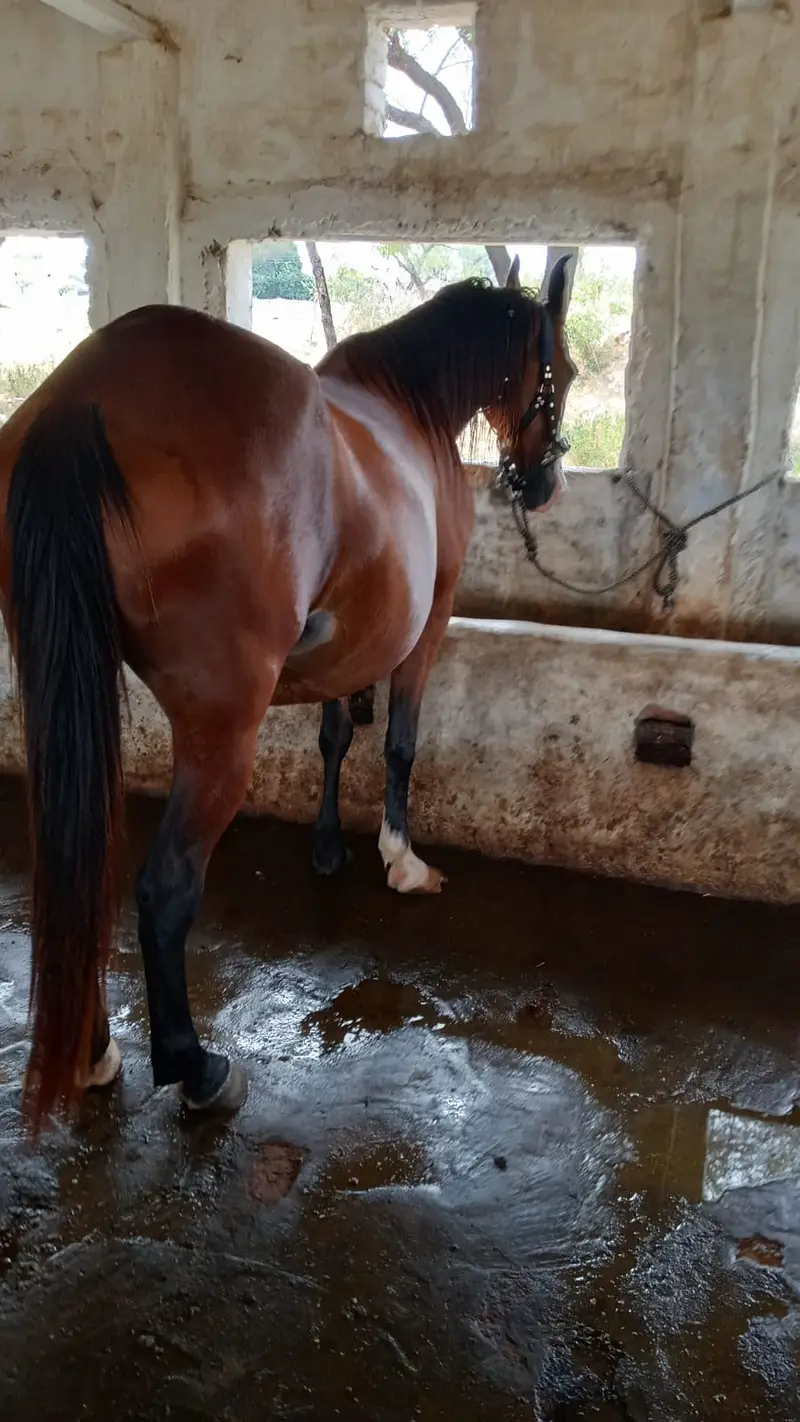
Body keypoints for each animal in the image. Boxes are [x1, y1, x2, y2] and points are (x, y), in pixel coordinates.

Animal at [0, 254, 575, 1129]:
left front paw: (330, 845)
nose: (540, 484)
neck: (408, 398)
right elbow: (400, 742)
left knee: (82, 869)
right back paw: (195, 1068)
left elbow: (336, 732)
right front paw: (401, 859)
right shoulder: (429, 618)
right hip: (221, 728)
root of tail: (80, 400)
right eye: (564, 371)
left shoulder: (348, 640)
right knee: (165, 887)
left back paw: (95, 1051)